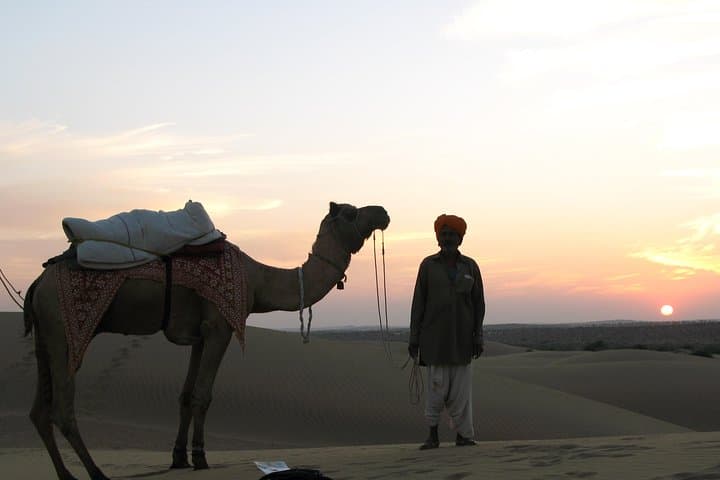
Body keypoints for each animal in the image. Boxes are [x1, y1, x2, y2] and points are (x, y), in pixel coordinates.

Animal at [23, 201, 390, 480]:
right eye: (351, 212)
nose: (383, 212)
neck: (257, 280)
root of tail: (38, 281)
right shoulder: (220, 326)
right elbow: (203, 396)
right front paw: (200, 457)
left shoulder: (200, 334)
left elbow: (186, 395)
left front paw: (178, 457)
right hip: (66, 328)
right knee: (62, 409)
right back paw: (95, 472)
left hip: (44, 334)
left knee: (39, 411)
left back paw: (66, 474)